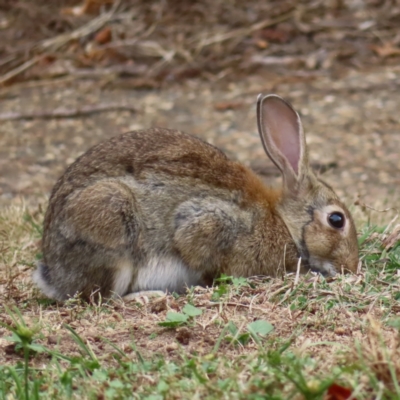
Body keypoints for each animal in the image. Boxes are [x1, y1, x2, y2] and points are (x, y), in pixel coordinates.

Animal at [33, 94, 360, 300]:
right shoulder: (208, 222)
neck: (284, 225)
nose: (352, 268)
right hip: (110, 220)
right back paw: (147, 298)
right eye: (336, 219)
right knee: (101, 298)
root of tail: (55, 277)